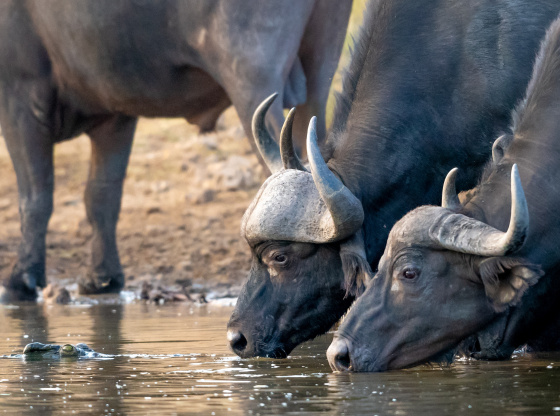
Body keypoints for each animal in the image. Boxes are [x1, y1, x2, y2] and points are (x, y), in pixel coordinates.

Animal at [0, 0, 350, 300]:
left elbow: (35, 196)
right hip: (318, 73)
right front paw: (102, 278)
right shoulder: (115, 116)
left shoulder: (19, 99)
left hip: (251, 77)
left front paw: (20, 280)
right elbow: (101, 196)